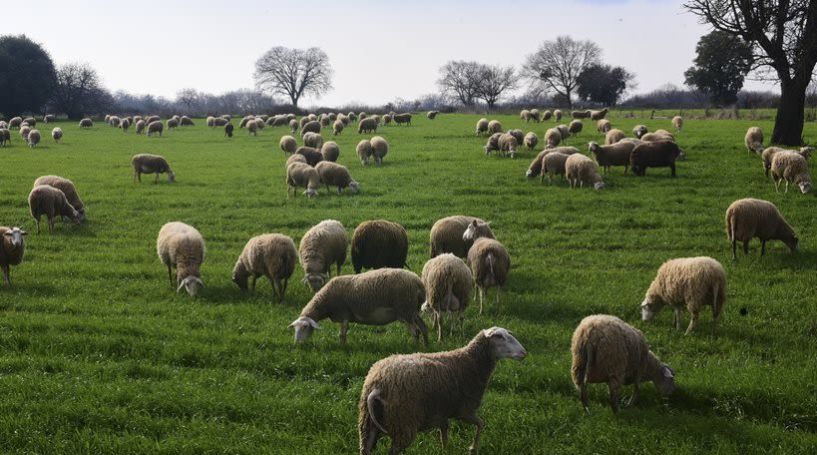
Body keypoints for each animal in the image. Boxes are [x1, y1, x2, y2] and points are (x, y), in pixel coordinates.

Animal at [288, 268, 428, 346]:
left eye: (305, 327)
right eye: (294, 328)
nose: (297, 344)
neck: (325, 301)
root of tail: (418, 282)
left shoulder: (344, 313)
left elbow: (342, 333)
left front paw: (342, 347)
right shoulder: (345, 315)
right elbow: (343, 333)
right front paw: (343, 346)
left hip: (404, 309)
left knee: (415, 331)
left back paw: (414, 347)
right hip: (412, 310)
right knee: (423, 327)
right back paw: (426, 345)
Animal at [358, 330, 524, 454]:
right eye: (500, 337)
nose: (524, 352)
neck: (471, 362)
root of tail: (378, 385)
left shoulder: (442, 414)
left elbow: (444, 435)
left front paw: (445, 450)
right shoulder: (464, 410)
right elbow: (481, 424)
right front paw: (472, 448)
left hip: (368, 424)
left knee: (365, 448)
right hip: (404, 422)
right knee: (393, 450)